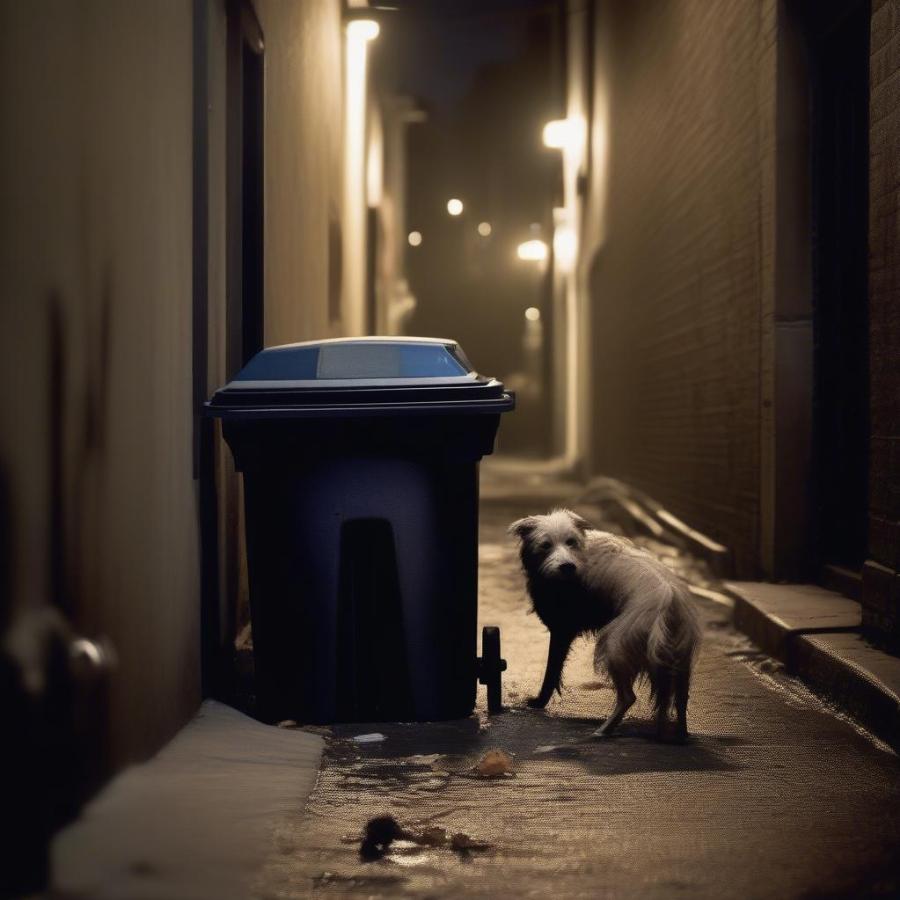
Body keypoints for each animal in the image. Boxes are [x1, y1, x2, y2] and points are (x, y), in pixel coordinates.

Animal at [510, 510, 700, 740]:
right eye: (545, 545)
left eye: (571, 541)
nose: (567, 567)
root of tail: (669, 600)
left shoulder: (562, 630)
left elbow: (551, 672)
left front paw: (539, 702)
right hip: (679, 660)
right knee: (681, 699)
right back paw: (679, 734)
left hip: (614, 645)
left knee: (628, 697)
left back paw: (604, 730)